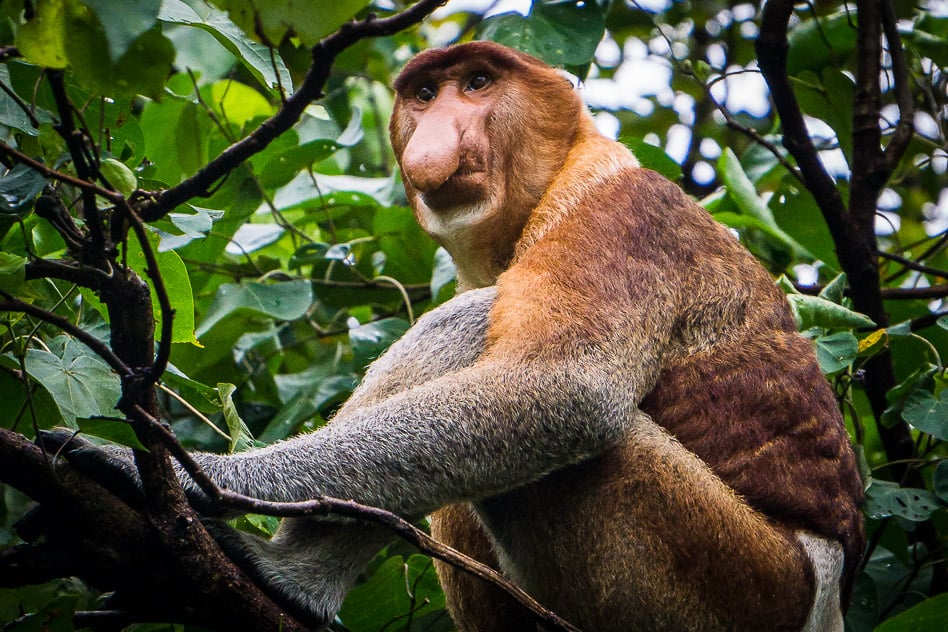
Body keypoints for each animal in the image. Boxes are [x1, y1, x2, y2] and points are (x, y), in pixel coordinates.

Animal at [43, 41, 864, 631]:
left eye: (477, 83)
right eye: (424, 95)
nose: (436, 133)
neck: (562, 177)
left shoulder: (620, 220)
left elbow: (561, 389)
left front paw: (177, 473)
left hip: (735, 580)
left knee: (475, 334)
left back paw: (289, 582)